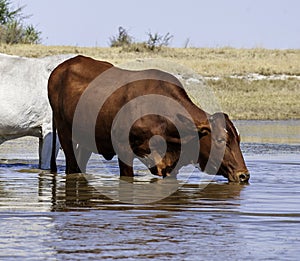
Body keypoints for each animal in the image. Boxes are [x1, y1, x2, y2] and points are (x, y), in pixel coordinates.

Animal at [48, 55, 250, 181]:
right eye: (220, 139)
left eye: (238, 140)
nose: (244, 175)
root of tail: (61, 68)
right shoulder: (124, 150)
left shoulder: (170, 164)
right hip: (64, 133)